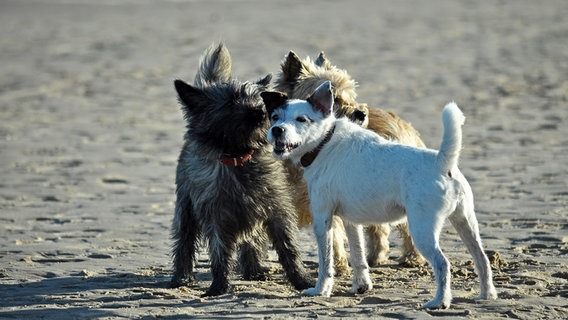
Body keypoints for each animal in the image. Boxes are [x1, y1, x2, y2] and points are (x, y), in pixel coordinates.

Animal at [171, 43, 312, 298]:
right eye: (230, 102)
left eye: (259, 98)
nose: (260, 112)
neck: (238, 158)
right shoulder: (216, 216)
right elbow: (219, 253)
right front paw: (218, 287)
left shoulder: (275, 209)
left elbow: (288, 247)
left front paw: (302, 280)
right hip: (186, 208)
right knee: (184, 242)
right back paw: (181, 277)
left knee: (252, 242)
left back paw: (254, 271)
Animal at [262, 81, 496, 308]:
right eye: (275, 117)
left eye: (301, 119)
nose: (277, 130)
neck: (324, 142)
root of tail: (442, 163)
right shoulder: (350, 222)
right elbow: (358, 256)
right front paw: (361, 286)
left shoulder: (323, 219)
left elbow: (326, 262)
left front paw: (321, 290)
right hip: (465, 221)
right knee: (482, 259)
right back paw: (486, 295)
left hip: (423, 229)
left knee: (442, 264)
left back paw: (440, 301)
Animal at [276, 50, 426, 272]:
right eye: (333, 98)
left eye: (350, 96)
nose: (362, 113)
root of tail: (402, 123)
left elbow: (334, 237)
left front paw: (337, 265)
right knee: (378, 228)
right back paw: (375, 256)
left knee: (406, 225)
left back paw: (413, 257)